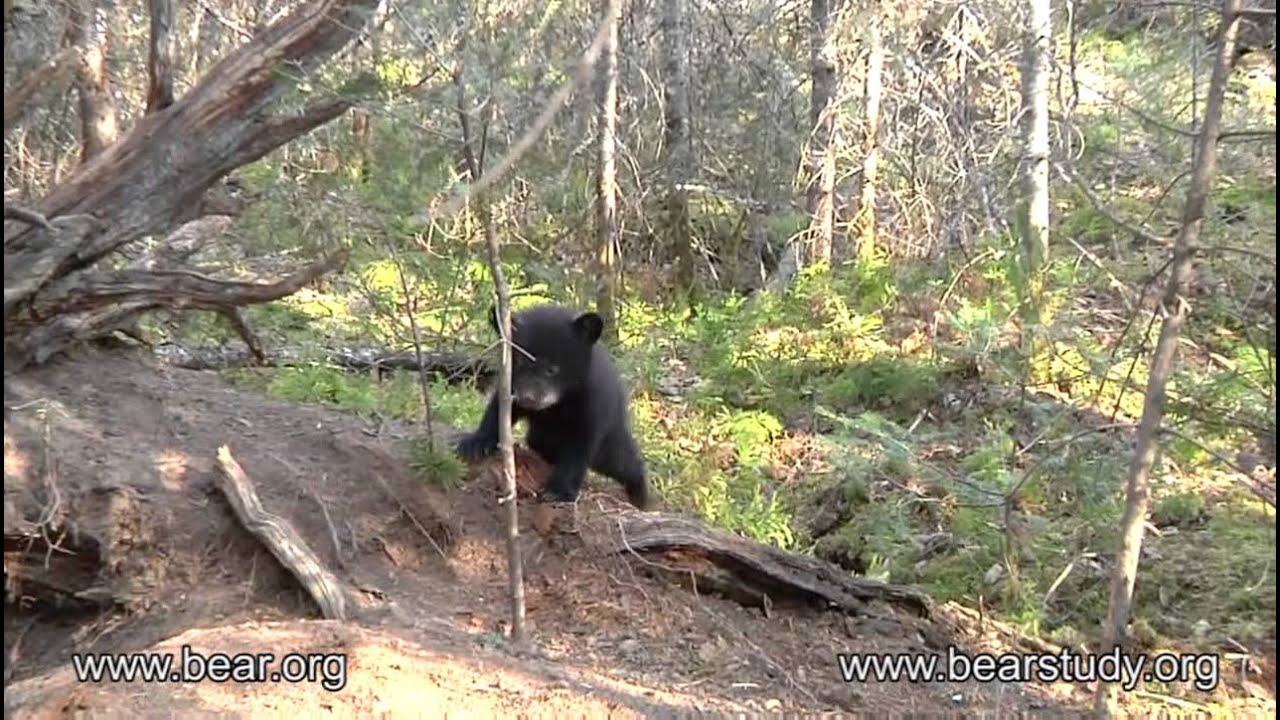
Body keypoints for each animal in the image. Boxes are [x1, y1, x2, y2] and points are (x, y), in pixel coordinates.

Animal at [454, 304, 651, 510]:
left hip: (611, 435)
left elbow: (579, 448)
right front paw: (475, 443)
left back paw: (640, 495)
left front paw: (558, 491)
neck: (557, 405)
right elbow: (499, 408)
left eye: (552, 369)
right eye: (520, 362)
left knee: (621, 461)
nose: (528, 398)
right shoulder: (511, 385)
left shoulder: (591, 404)